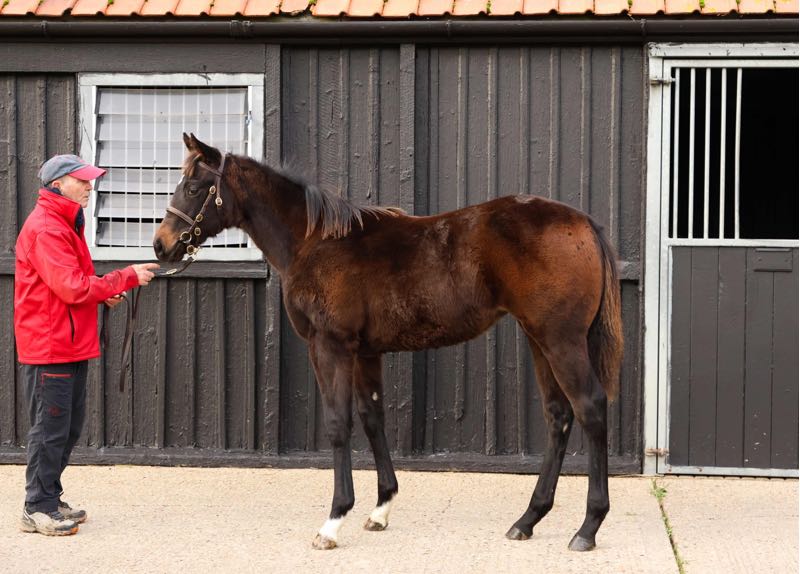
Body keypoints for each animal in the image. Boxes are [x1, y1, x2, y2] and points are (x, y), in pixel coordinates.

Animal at [153, 133, 623, 552]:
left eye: (194, 187)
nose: (161, 246)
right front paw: (380, 509)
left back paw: (588, 527)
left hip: (561, 340)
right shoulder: (366, 352)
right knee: (559, 416)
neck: (313, 241)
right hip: (539, 339)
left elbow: (339, 424)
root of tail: (583, 222)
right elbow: (372, 418)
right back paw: (527, 520)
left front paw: (333, 521)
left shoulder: (331, 346)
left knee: (591, 408)